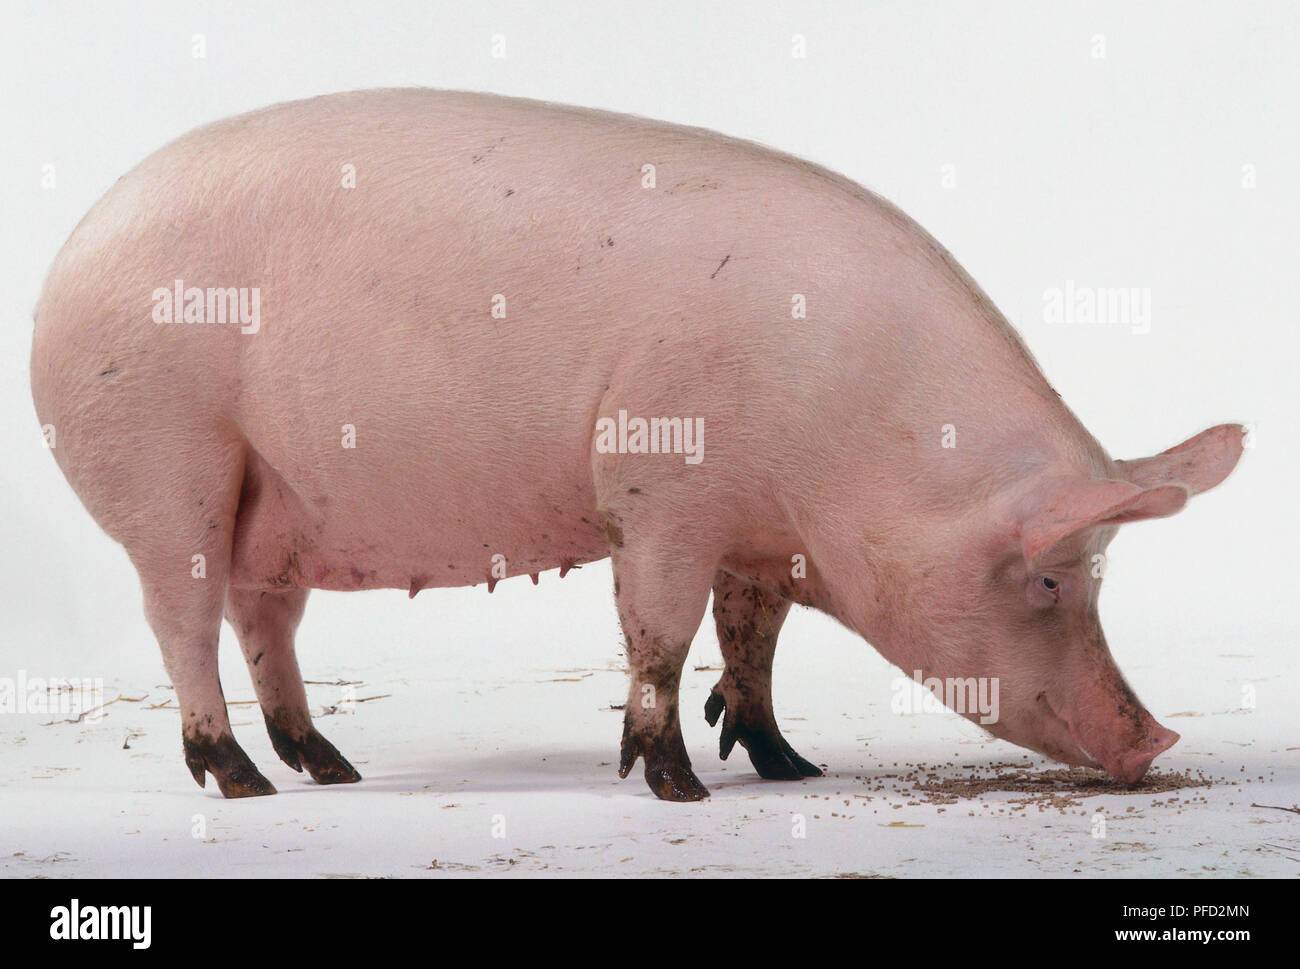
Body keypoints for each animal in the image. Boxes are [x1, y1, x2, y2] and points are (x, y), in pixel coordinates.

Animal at [30, 89, 1242, 801]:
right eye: (1048, 579)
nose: (1156, 741)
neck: (852, 432)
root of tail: (67, 262)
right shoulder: (655, 488)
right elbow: (658, 632)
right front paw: (677, 787)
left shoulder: (758, 536)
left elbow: (751, 641)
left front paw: (789, 767)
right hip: (166, 460)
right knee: (181, 619)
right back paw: (241, 781)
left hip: (272, 504)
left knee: (260, 620)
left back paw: (330, 767)